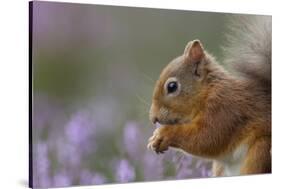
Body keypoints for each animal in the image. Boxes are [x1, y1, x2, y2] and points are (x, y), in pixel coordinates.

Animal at [148, 15, 270, 176]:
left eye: (172, 86)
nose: (153, 118)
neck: (207, 93)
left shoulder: (225, 109)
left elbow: (207, 138)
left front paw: (164, 134)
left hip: (261, 151)